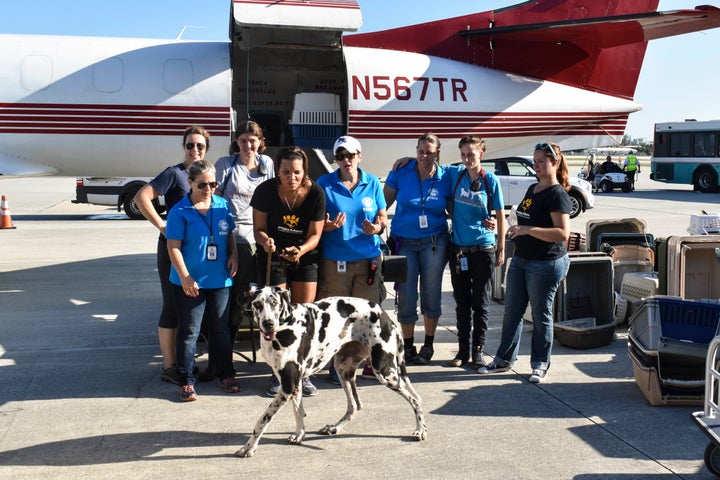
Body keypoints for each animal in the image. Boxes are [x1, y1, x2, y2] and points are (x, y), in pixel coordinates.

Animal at [236, 284, 428, 458]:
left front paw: (249, 447)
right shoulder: (294, 384)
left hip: (384, 372)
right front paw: (299, 435)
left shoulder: (288, 386)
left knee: (414, 400)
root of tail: (386, 317)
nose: (268, 323)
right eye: (257, 304)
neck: (285, 326)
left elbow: (262, 420)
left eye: (274, 302)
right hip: (343, 369)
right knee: (354, 406)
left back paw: (420, 429)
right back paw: (335, 427)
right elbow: (299, 412)